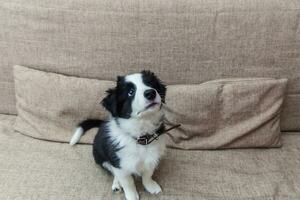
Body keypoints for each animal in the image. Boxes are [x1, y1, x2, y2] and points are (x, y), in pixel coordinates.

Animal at [70, 70, 168, 200]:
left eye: (150, 84)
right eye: (130, 92)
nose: (151, 93)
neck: (141, 136)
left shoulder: (152, 157)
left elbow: (147, 174)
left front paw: (151, 186)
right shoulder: (119, 162)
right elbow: (128, 181)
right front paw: (132, 195)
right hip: (101, 158)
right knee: (113, 172)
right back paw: (116, 184)